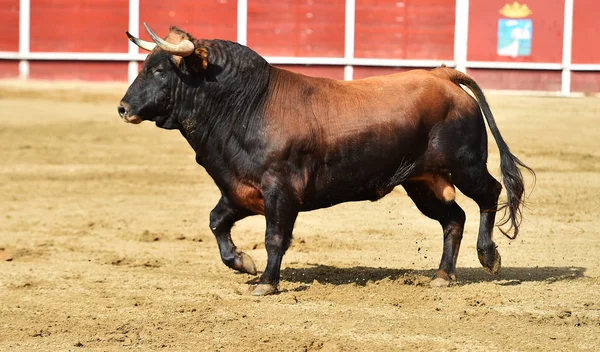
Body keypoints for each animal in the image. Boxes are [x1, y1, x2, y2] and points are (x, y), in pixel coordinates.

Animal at [118, 23, 536, 296]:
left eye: (159, 70)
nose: (123, 108)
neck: (248, 105)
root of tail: (443, 76)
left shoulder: (280, 191)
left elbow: (275, 237)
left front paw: (266, 283)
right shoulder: (240, 190)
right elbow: (216, 221)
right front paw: (243, 264)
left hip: (465, 166)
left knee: (489, 194)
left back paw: (488, 257)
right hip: (421, 182)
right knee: (453, 219)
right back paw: (442, 276)